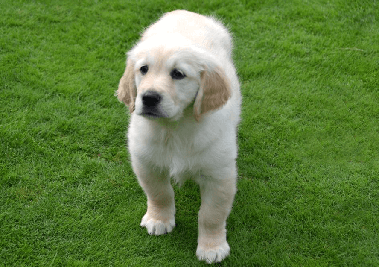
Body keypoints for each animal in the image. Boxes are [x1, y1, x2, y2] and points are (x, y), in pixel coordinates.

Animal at [116, 9, 242, 264]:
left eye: (178, 74)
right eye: (143, 69)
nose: (149, 98)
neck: (174, 129)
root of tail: (186, 12)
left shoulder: (219, 175)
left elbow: (211, 214)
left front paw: (212, 247)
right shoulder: (147, 162)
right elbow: (160, 193)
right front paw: (159, 220)